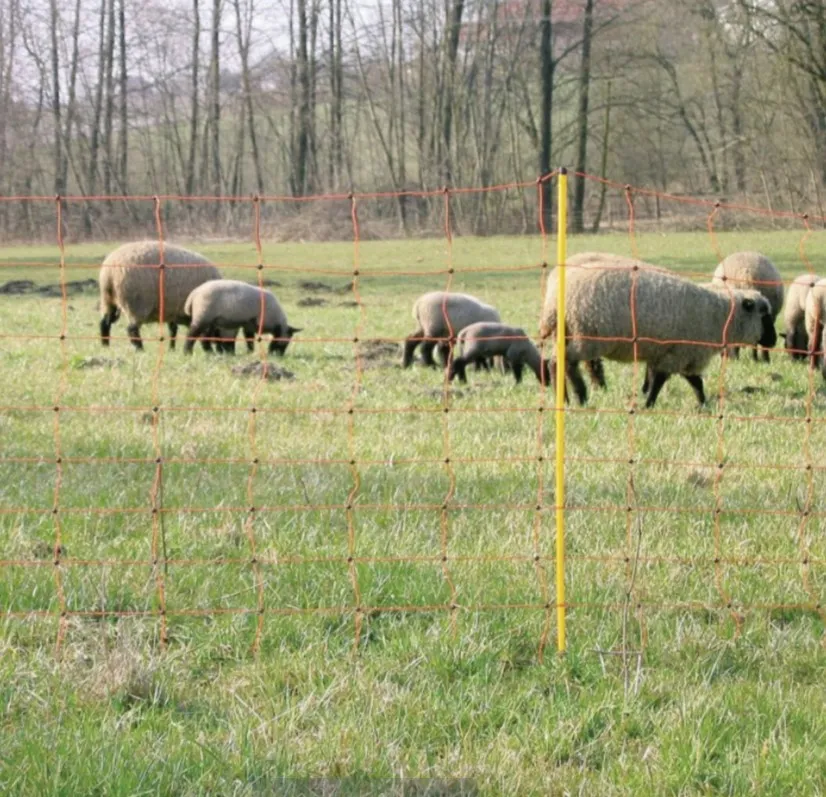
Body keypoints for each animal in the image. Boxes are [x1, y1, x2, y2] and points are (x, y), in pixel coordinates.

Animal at [99, 240, 231, 351]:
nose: (225, 352)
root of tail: (109, 272)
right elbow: (201, 334)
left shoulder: (173, 310)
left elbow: (173, 330)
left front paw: (171, 349)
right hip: (137, 305)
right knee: (131, 330)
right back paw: (140, 349)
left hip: (108, 300)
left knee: (105, 323)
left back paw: (105, 346)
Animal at [541, 252, 777, 408]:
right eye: (764, 315)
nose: (773, 341)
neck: (719, 315)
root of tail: (553, 303)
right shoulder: (681, 353)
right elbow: (664, 381)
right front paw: (650, 404)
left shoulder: (680, 355)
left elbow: (693, 382)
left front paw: (702, 404)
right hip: (586, 336)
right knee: (563, 363)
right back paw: (574, 397)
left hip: (572, 334)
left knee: (561, 363)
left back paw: (570, 398)